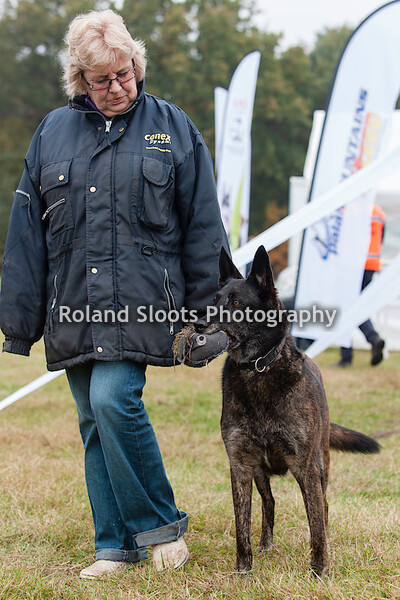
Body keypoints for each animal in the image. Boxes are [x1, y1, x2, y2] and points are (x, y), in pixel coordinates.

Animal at [196, 245, 380, 577]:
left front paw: (319, 570)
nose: (198, 324)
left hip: (320, 464)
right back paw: (265, 544)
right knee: (269, 502)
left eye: (237, 303)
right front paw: (243, 570)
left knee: (323, 507)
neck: (258, 369)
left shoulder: (305, 468)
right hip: (261, 472)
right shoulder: (241, 465)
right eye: (213, 300)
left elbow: (316, 522)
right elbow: (242, 524)